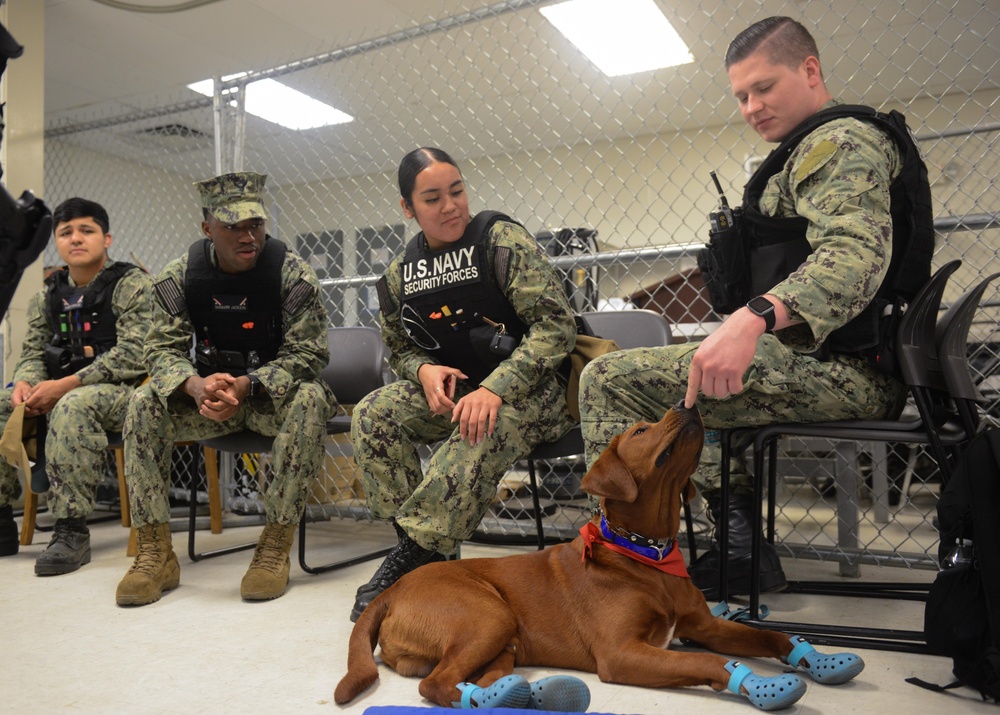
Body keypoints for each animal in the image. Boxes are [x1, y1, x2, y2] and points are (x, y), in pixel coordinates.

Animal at [336, 402, 860, 712]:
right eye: (642, 429)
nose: (687, 403)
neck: (646, 551)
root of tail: (391, 592)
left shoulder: (704, 625)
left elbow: (770, 635)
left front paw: (815, 658)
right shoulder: (622, 653)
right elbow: (713, 664)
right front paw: (759, 685)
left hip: (503, 641)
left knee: (474, 676)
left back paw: (521, 693)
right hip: (488, 614)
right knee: (435, 685)